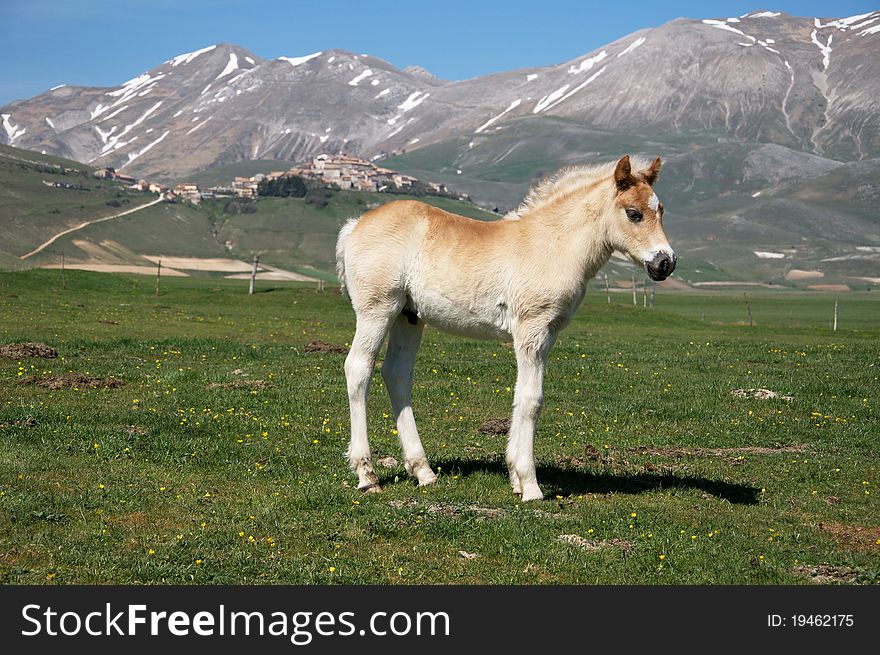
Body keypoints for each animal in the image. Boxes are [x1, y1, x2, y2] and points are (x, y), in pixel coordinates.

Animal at [336, 155, 672, 502]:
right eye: (633, 213)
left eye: (661, 210)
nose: (666, 263)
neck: (551, 244)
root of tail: (355, 225)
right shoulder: (532, 330)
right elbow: (532, 399)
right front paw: (530, 485)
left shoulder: (544, 335)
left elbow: (521, 395)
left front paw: (514, 477)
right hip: (378, 309)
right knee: (358, 368)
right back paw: (367, 474)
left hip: (409, 316)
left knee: (397, 374)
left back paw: (424, 472)